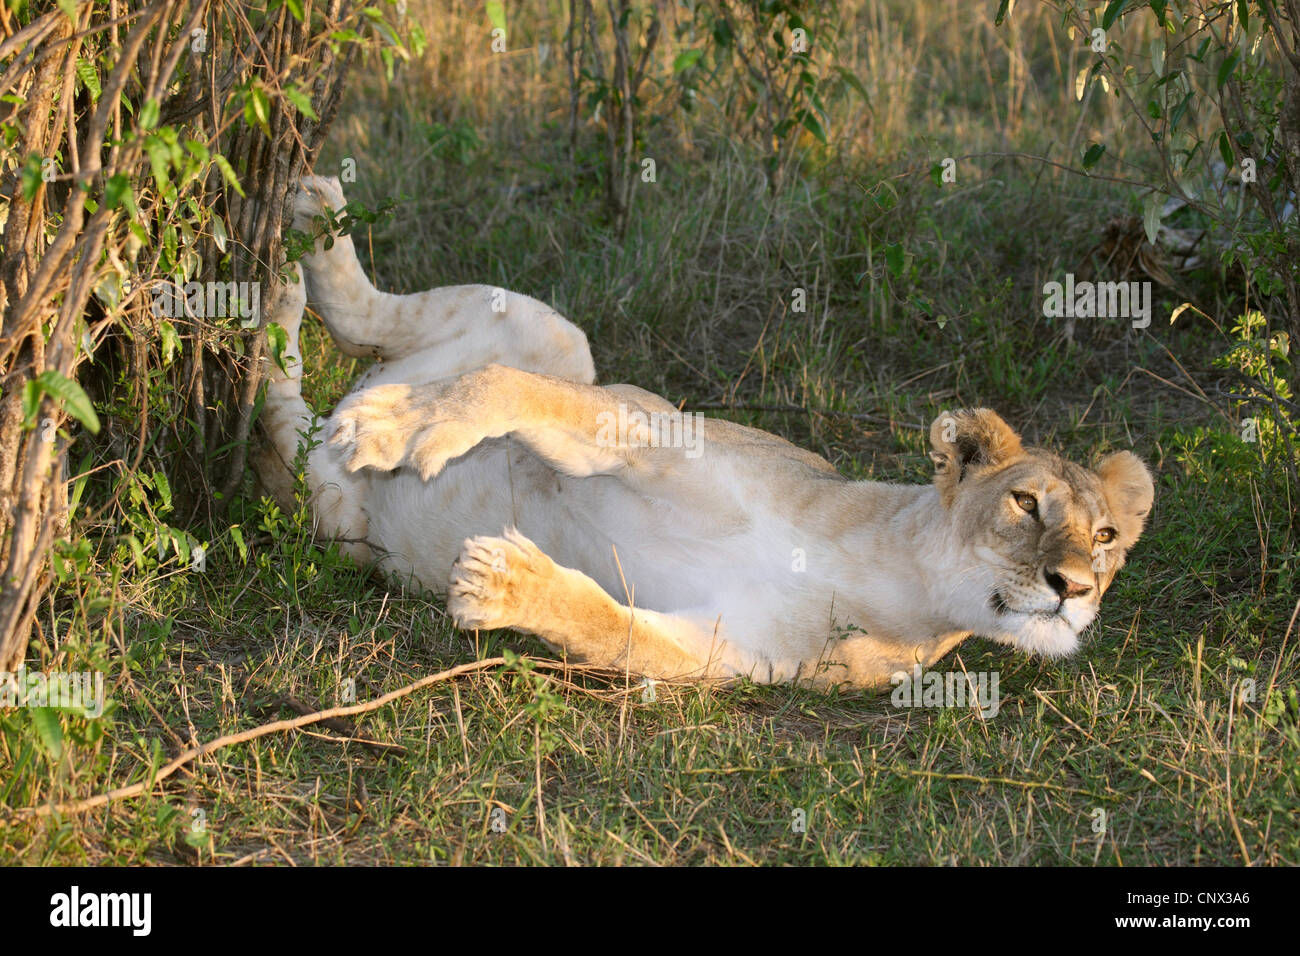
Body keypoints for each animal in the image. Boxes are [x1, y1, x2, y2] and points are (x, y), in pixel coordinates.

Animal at [256, 176, 1154, 691]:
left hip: (332, 517)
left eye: (1107, 536)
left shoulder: (729, 650)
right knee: (368, 322)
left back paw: (276, 306)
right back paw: (310, 237)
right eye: (1027, 503)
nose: (1076, 587)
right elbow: (515, 394)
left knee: (275, 412)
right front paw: (406, 422)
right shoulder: (658, 434)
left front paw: (500, 581)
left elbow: (612, 627)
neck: (899, 581)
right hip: (560, 336)